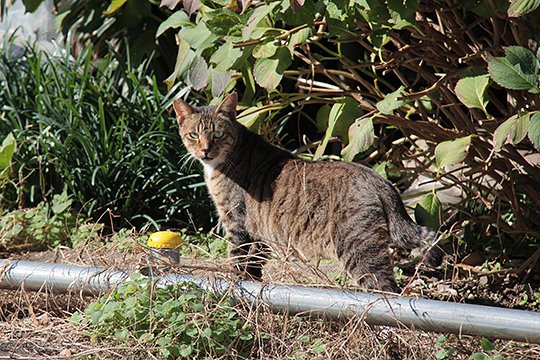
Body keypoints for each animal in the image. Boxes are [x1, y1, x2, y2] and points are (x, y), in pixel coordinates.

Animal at [174, 93, 442, 292]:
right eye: (194, 135)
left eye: (218, 134)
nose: (205, 150)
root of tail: (379, 180)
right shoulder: (261, 232)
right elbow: (254, 266)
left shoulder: (236, 221)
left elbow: (236, 259)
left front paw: (234, 284)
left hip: (358, 246)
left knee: (386, 289)